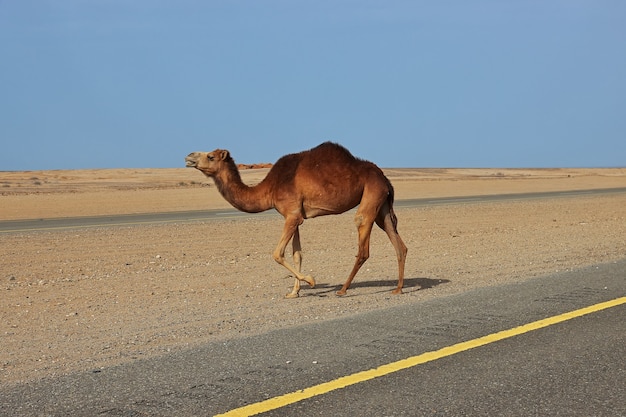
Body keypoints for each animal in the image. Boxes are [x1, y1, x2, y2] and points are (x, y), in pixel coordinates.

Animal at [184, 141, 410, 298]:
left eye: (211, 156)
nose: (189, 156)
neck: (270, 188)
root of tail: (385, 178)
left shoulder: (292, 216)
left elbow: (277, 253)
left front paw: (310, 281)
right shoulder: (296, 216)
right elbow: (297, 254)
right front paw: (294, 292)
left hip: (371, 195)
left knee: (363, 242)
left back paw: (343, 289)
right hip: (382, 205)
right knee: (398, 244)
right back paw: (398, 288)